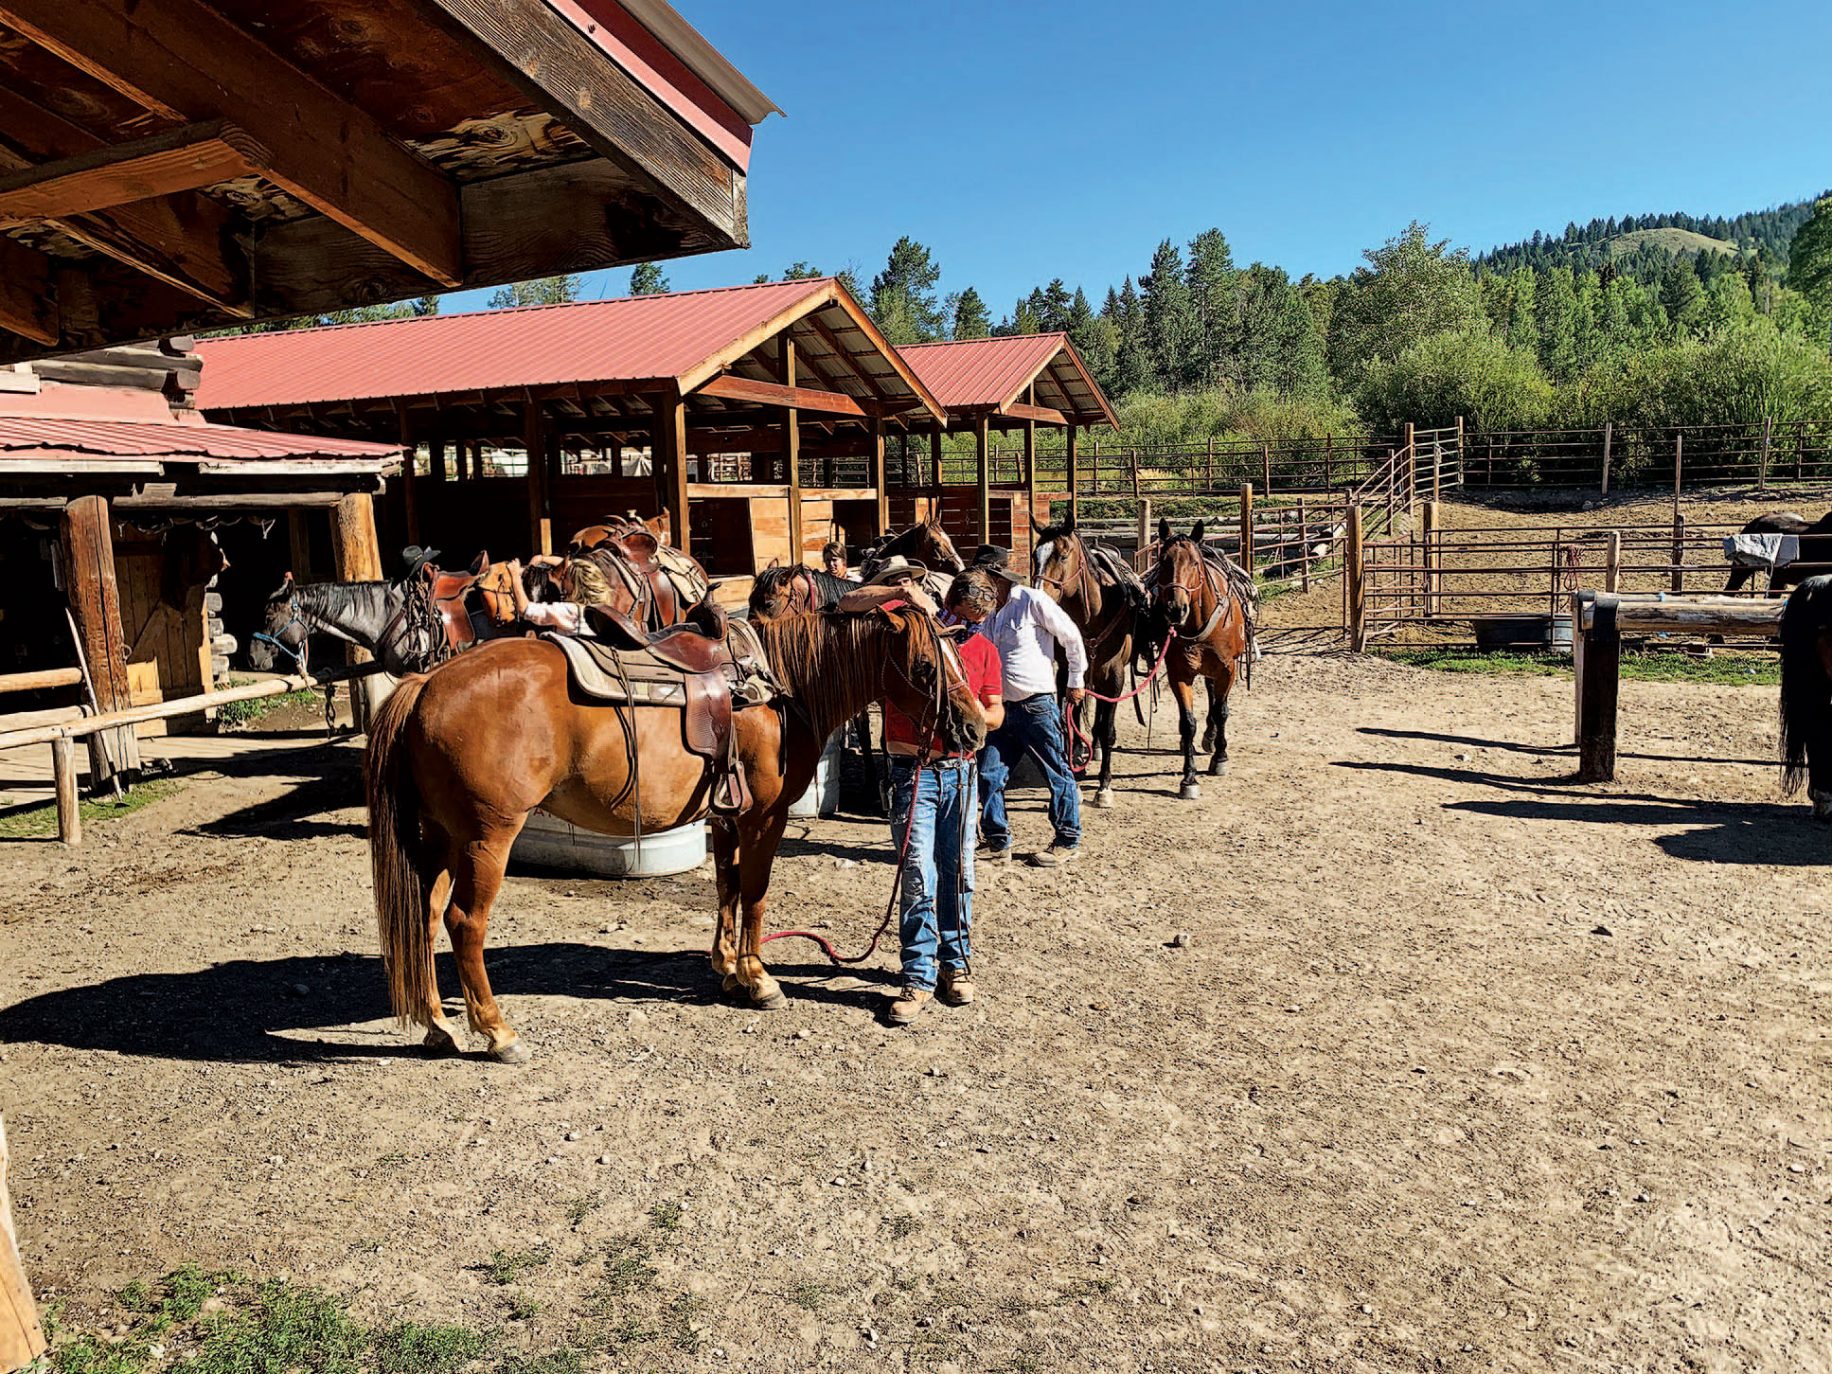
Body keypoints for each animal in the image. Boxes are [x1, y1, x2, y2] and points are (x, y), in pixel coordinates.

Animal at [360, 604, 989, 1062]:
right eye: (926, 667)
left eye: (956, 655)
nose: (975, 728)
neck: (785, 687)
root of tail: (425, 682)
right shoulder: (764, 817)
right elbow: (755, 896)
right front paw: (760, 980)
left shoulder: (728, 817)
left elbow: (727, 890)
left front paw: (728, 970)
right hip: (485, 839)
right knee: (464, 923)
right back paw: (497, 1032)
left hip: (441, 838)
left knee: (423, 916)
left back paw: (437, 1025)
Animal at [1033, 516, 1143, 817]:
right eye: (1035, 555)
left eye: (1063, 555)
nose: (1038, 595)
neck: (1092, 616)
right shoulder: (1066, 674)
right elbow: (1066, 722)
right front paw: (1075, 777)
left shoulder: (1115, 677)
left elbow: (1107, 730)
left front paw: (1104, 787)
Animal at [1143, 516, 1245, 802]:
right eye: (1163, 560)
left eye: (1194, 563)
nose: (1176, 609)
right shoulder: (1179, 673)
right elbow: (1187, 723)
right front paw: (1189, 778)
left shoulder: (1228, 669)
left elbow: (1222, 712)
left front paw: (1220, 758)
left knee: (1217, 702)